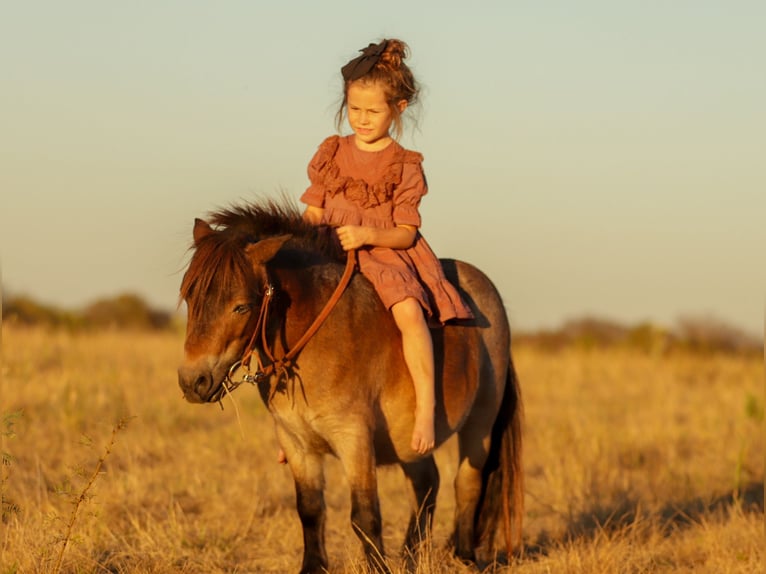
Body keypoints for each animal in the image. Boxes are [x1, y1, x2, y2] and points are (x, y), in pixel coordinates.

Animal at [177, 198, 524, 573]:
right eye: (189, 297)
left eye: (241, 306)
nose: (193, 381)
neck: (313, 338)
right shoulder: (297, 444)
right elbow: (310, 510)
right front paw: (313, 567)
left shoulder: (354, 439)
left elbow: (366, 516)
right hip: (410, 440)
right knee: (427, 483)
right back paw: (411, 555)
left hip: (480, 424)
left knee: (467, 484)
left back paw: (465, 556)